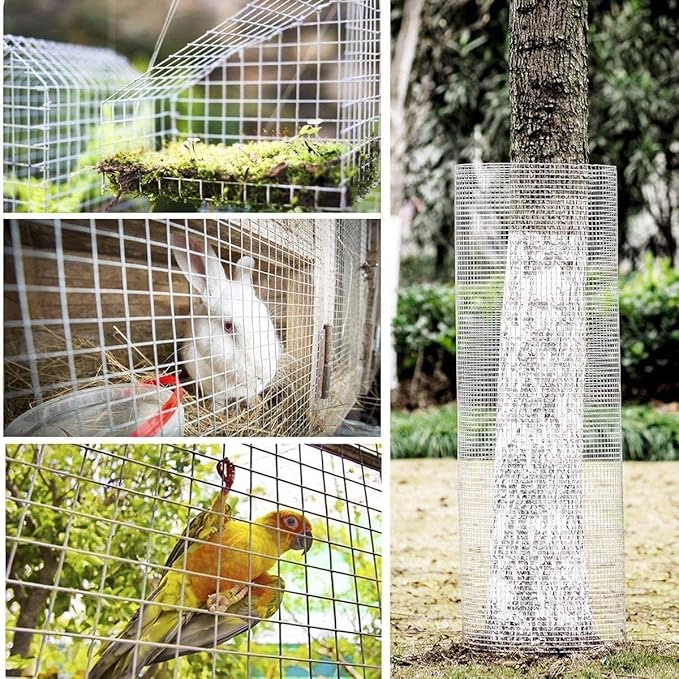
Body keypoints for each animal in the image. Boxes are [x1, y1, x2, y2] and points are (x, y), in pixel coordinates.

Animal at [170, 232, 282, 405]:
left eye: (266, 317)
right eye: (228, 326)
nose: (265, 375)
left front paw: (255, 402)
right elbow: (218, 402)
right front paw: (217, 409)